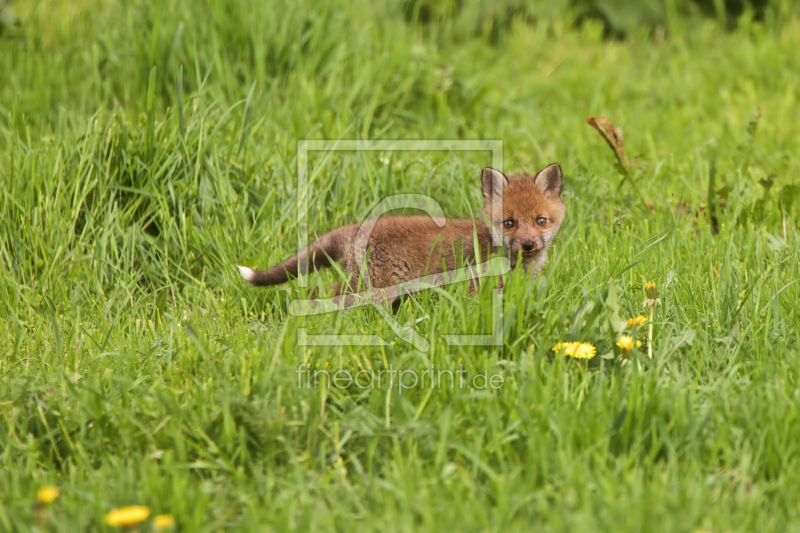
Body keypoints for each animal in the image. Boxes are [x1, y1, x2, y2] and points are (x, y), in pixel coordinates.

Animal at [234, 163, 564, 296]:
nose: (528, 245)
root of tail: (352, 228)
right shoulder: (474, 288)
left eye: (540, 221)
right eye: (509, 223)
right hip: (370, 285)